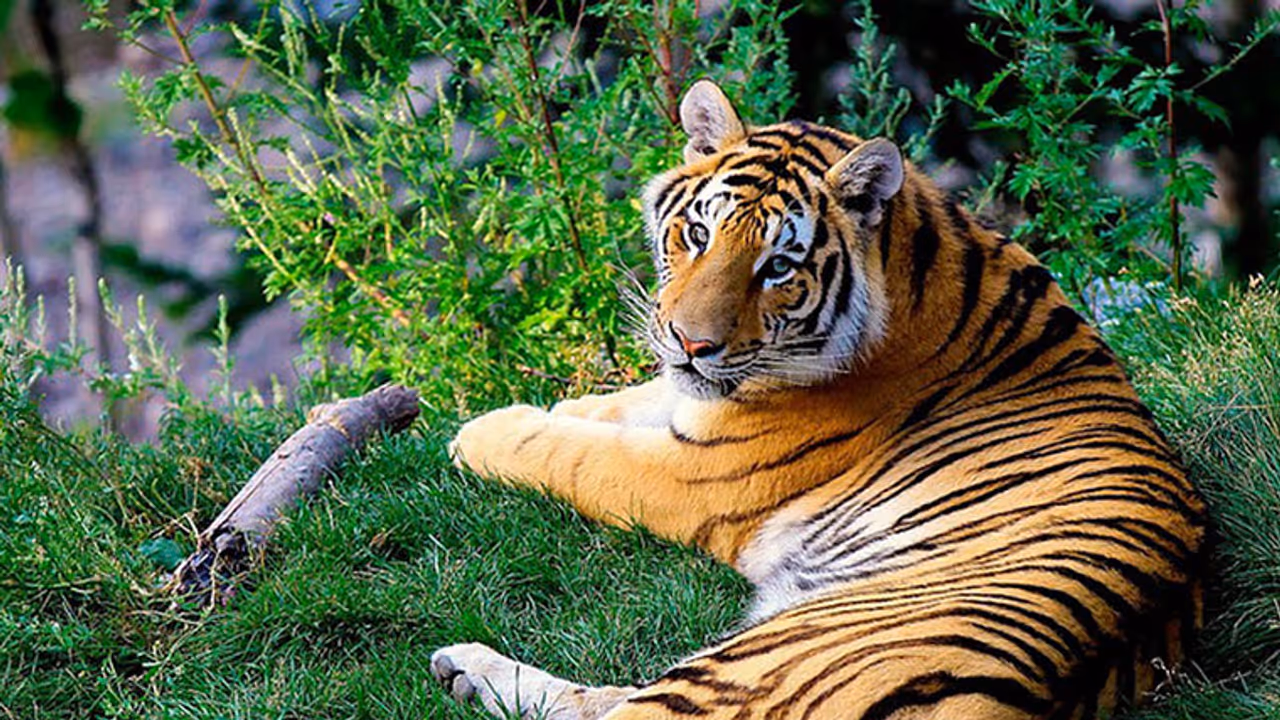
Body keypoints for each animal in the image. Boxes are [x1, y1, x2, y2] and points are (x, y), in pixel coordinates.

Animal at [433, 79, 1207, 720]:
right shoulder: (698, 405)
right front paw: (555, 408)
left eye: (778, 265)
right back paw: (462, 671)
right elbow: (625, 404)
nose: (691, 342)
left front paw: (481, 433)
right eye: (698, 233)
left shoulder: (692, 474)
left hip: (750, 663)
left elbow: (573, 455)